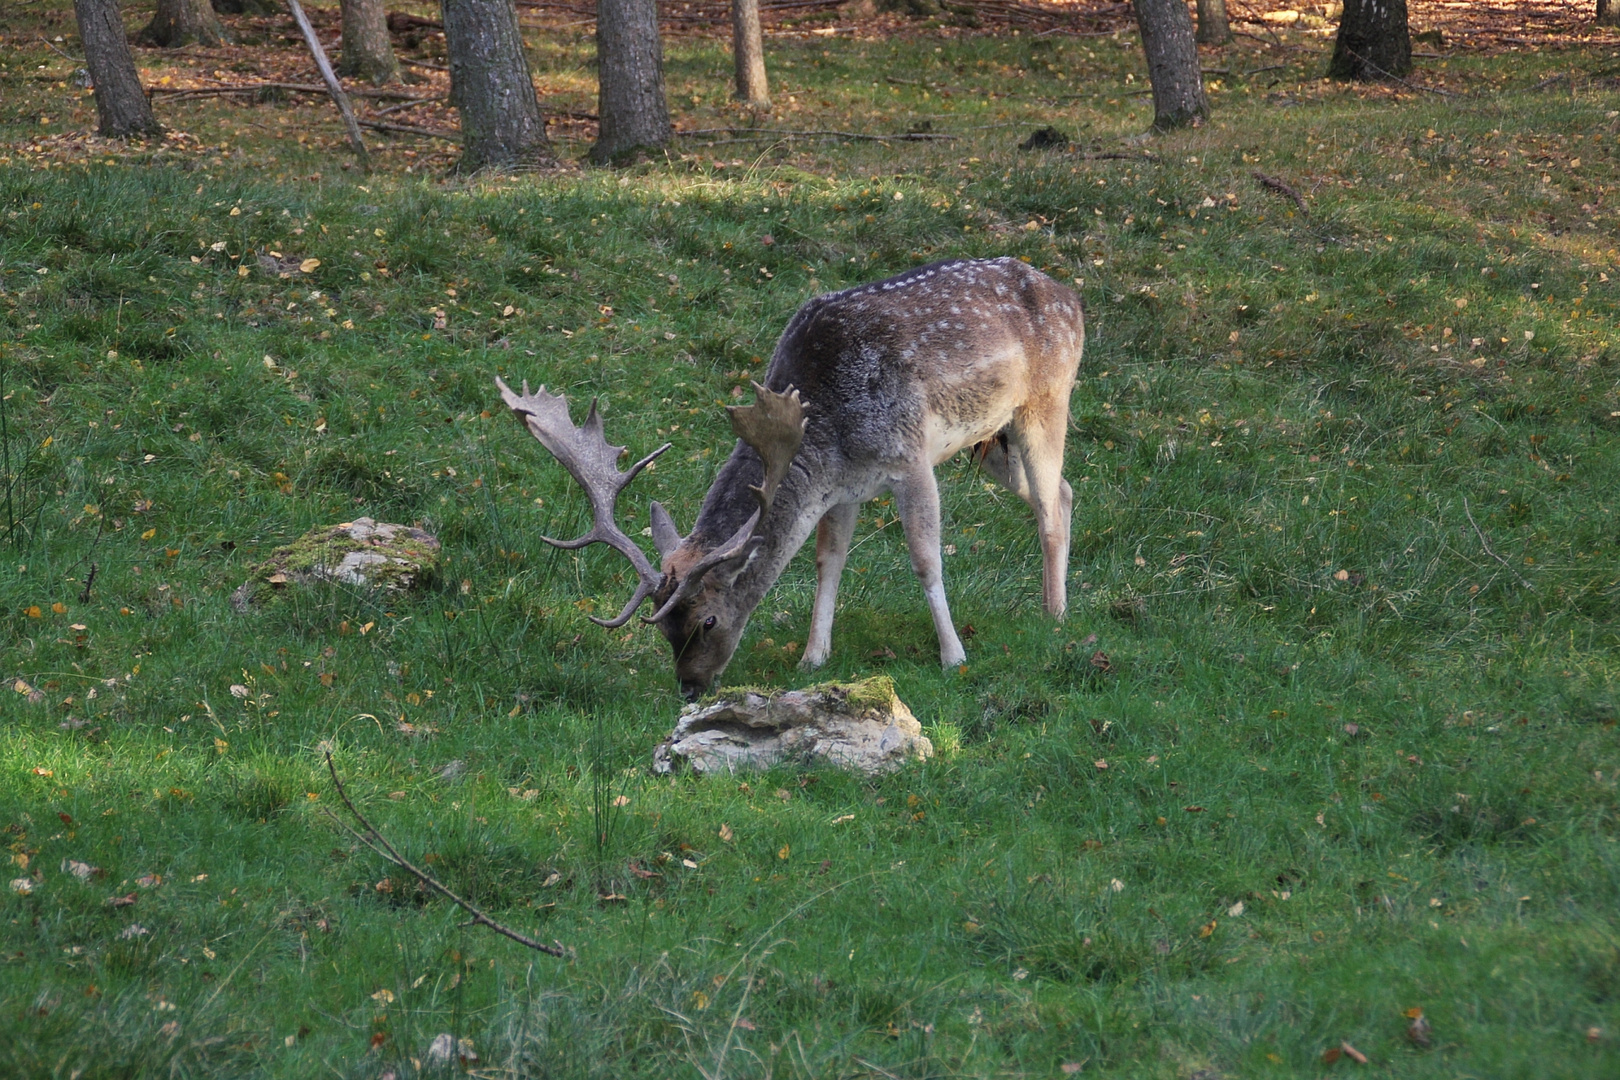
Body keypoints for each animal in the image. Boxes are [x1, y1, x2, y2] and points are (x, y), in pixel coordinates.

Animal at [502, 259, 1088, 705]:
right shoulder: (846, 487)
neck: (827, 427)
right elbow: (828, 562)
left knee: (1050, 503)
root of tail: (1071, 297)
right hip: (986, 439)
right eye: (664, 627)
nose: (690, 688)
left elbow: (926, 560)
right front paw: (813, 658)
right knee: (1061, 492)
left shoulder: (909, 457)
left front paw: (953, 657)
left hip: (1045, 399)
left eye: (708, 620)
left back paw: (1057, 616)